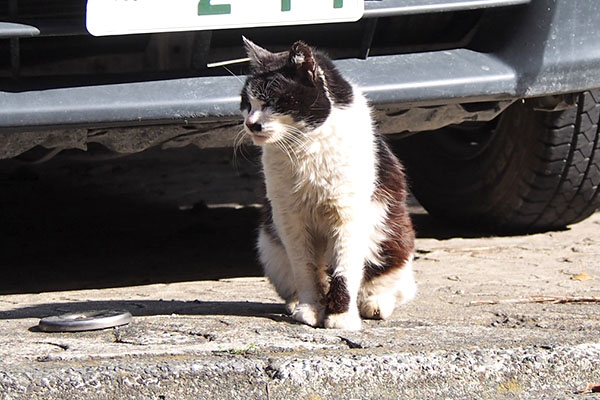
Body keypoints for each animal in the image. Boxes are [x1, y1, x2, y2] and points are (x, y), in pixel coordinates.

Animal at [240, 38, 418, 332]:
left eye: (272, 101)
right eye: (246, 103)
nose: (250, 123)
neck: (304, 146)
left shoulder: (348, 217)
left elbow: (344, 272)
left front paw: (341, 318)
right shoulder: (289, 219)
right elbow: (305, 269)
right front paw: (310, 309)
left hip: (393, 238)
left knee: (393, 284)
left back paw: (374, 304)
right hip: (270, 245)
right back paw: (296, 304)